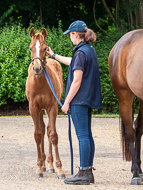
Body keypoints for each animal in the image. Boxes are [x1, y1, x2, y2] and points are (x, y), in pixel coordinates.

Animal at [26, 27, 65, 179]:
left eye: (44, 48)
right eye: (31, 48)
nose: (37, 69)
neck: (40, 82)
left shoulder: (52, 108)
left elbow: (53, 134)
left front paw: (59, 169)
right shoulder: (33, 108)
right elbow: (38, 134)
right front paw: (38, 167)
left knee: (47, 130)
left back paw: (49, 165)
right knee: (42, 130)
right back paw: (43, 164)